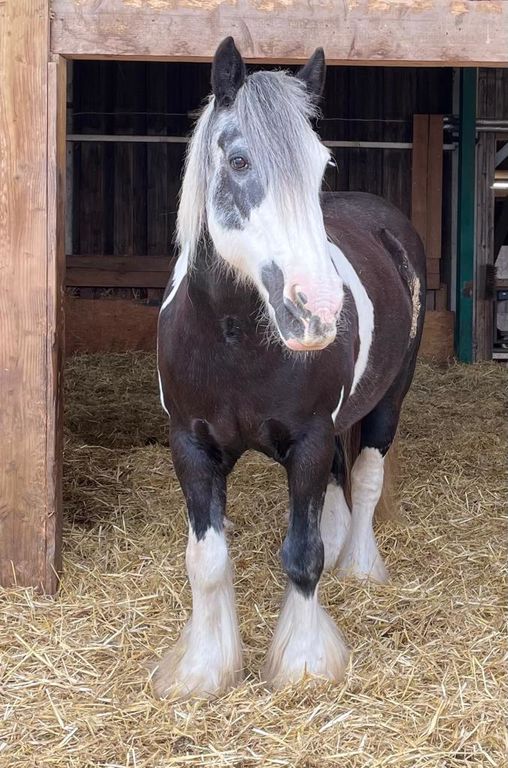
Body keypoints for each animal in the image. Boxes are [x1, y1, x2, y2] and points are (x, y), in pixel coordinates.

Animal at [155, 37, 426, 698]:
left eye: (321, 166)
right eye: (239, 162)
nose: (318, 309)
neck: (231, 340)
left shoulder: (307, 440)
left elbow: (303, 554)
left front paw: (303, 665)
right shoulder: (190, 446)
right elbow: (207, 561)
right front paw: (203, 669)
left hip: (387, 404)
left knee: (366, 477)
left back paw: (359, 564)